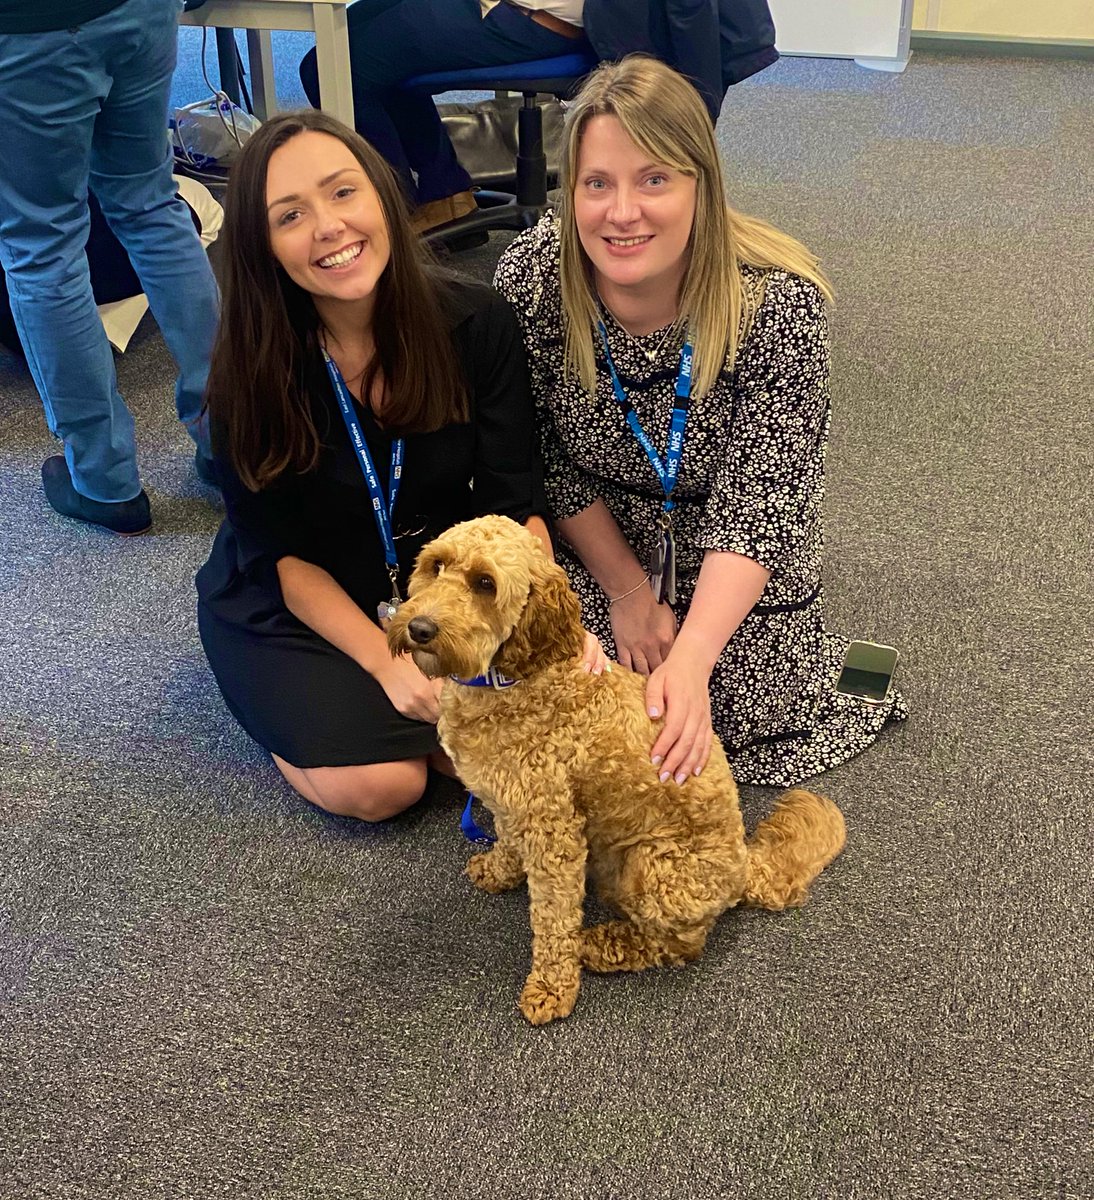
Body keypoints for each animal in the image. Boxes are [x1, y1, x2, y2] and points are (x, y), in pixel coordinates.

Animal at [383, 513, 844, 1022]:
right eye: (436, 566)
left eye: (485, 583)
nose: (419, 627)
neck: (518, 680)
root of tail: (745, 865)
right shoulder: (511, 804)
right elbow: (506, 842)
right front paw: (500, 870)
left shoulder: (554, 832)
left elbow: (554, 917)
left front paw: (552, 986)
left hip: (654, 866)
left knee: (680, 946)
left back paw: (601, 946)